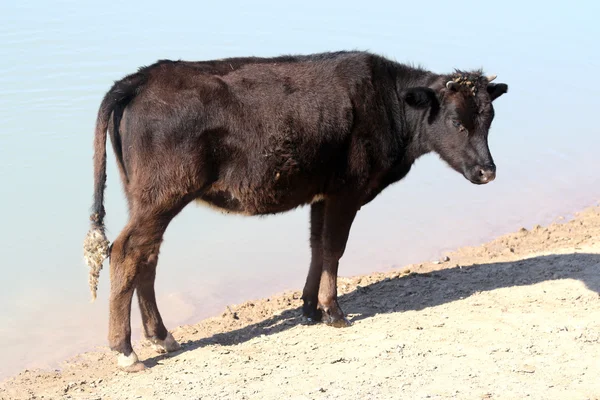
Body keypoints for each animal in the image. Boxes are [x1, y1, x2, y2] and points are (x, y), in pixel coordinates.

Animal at [83, 50, 506, 372]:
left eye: (488, 119)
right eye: (456, 122)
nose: (488, 171)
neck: (387, 103)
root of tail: (143, 77)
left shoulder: (321, 193)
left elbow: (317, 246)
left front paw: (309, 307)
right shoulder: (346, 191)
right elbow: (334, 248)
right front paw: (333, 311)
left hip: (147, 198)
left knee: (147, 257)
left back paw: (161, 337)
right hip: (163, 195)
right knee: (127, 252)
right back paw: (126, 351)